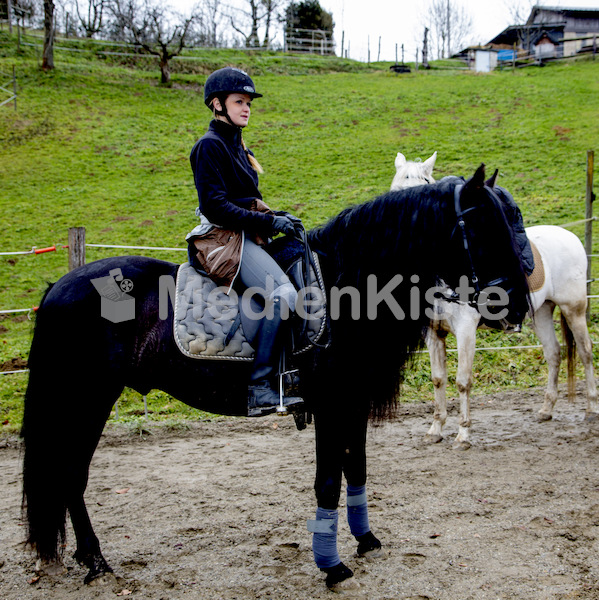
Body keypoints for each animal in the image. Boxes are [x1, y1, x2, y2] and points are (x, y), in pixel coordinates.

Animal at [21, 166, 532, 588]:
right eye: (484, 225)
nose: (517, 307)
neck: (349, 288)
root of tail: (59, 288)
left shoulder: (353, 402)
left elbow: (356, 468)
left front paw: (366, 539)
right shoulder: (331, 406)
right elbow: (328, 480)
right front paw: (331, 565)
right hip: (86, 398)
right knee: (71, 474)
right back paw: (95, 560)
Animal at [392, 152, 596, 448]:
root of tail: (570, 236)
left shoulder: (466, 331)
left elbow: (462, 381)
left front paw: (463, 434)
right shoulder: (433, 333)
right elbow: (438, 379)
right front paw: (435, 429)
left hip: (574, 309)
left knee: (585, 351)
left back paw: (591, 408)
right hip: (542, 313)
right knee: (554, 353)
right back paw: (546, 409)